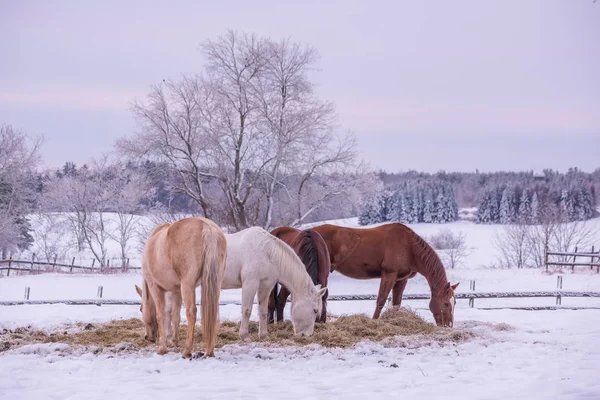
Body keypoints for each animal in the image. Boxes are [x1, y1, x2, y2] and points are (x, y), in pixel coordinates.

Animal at [135, 217, 226, 360]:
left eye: (140, 309)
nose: (147, 337)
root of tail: (207, 228)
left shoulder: (156, 287)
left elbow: (161, 315)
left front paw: (162, 348)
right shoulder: (176, 290)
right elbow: (175, 315)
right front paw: (174, 341)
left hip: (187, 285)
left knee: (191, 312)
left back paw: (187, 351)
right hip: (215, 283)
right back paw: (209, 351)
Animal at [308, 222, 462, 328]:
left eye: (455, 303)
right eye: (446, 303)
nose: (448, 325)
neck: (409, 247)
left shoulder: (402, 279)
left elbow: (396, 303)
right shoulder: (389, 275)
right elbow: (381, 300)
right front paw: (374, 321)